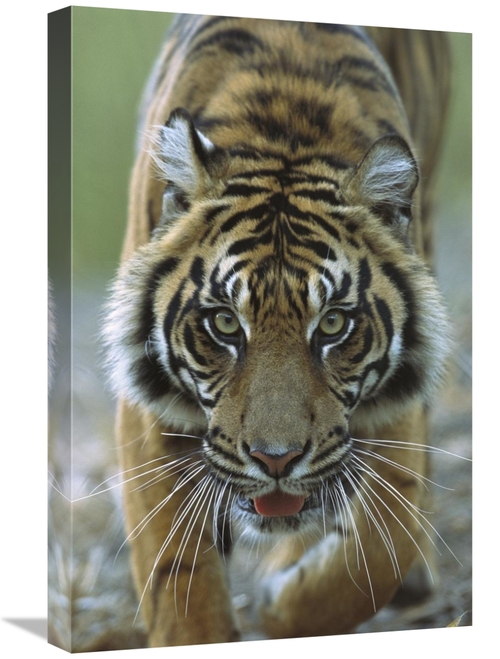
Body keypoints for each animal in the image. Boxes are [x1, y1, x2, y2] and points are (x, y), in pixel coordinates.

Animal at [103, 14, 451, 647]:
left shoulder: (397, 406)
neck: (285, 131)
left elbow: (377, 554)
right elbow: (182, 585)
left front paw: (281, 604)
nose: (276, 462)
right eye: (223, 322)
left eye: (333, 323)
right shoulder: (149, 409)